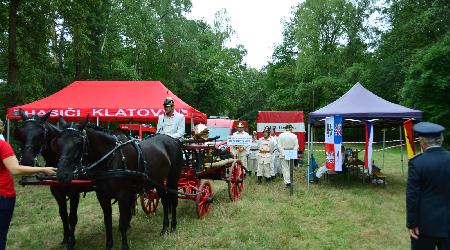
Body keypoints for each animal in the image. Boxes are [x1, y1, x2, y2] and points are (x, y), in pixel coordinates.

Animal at [13, 110, 90, 250]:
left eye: (40, 134)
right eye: (21, 133)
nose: (26, 161)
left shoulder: (74, 193)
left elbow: (72, 218)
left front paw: (72, 241)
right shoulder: (56, 192)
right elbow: (63, 215)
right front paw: (65, 238)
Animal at [56, 117, 183, 250]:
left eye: (78, 142)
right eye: (59, 143)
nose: (62, 175)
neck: (110, 158)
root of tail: (173, 140)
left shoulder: (123, 196)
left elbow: (122, 223)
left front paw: (124, 246)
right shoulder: (102, 197)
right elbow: (107, 222)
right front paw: (108, 245)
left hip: (173, 178)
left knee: (173, 199)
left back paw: (172, 226)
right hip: (158, 181)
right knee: (164, 201)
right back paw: (165, 228)